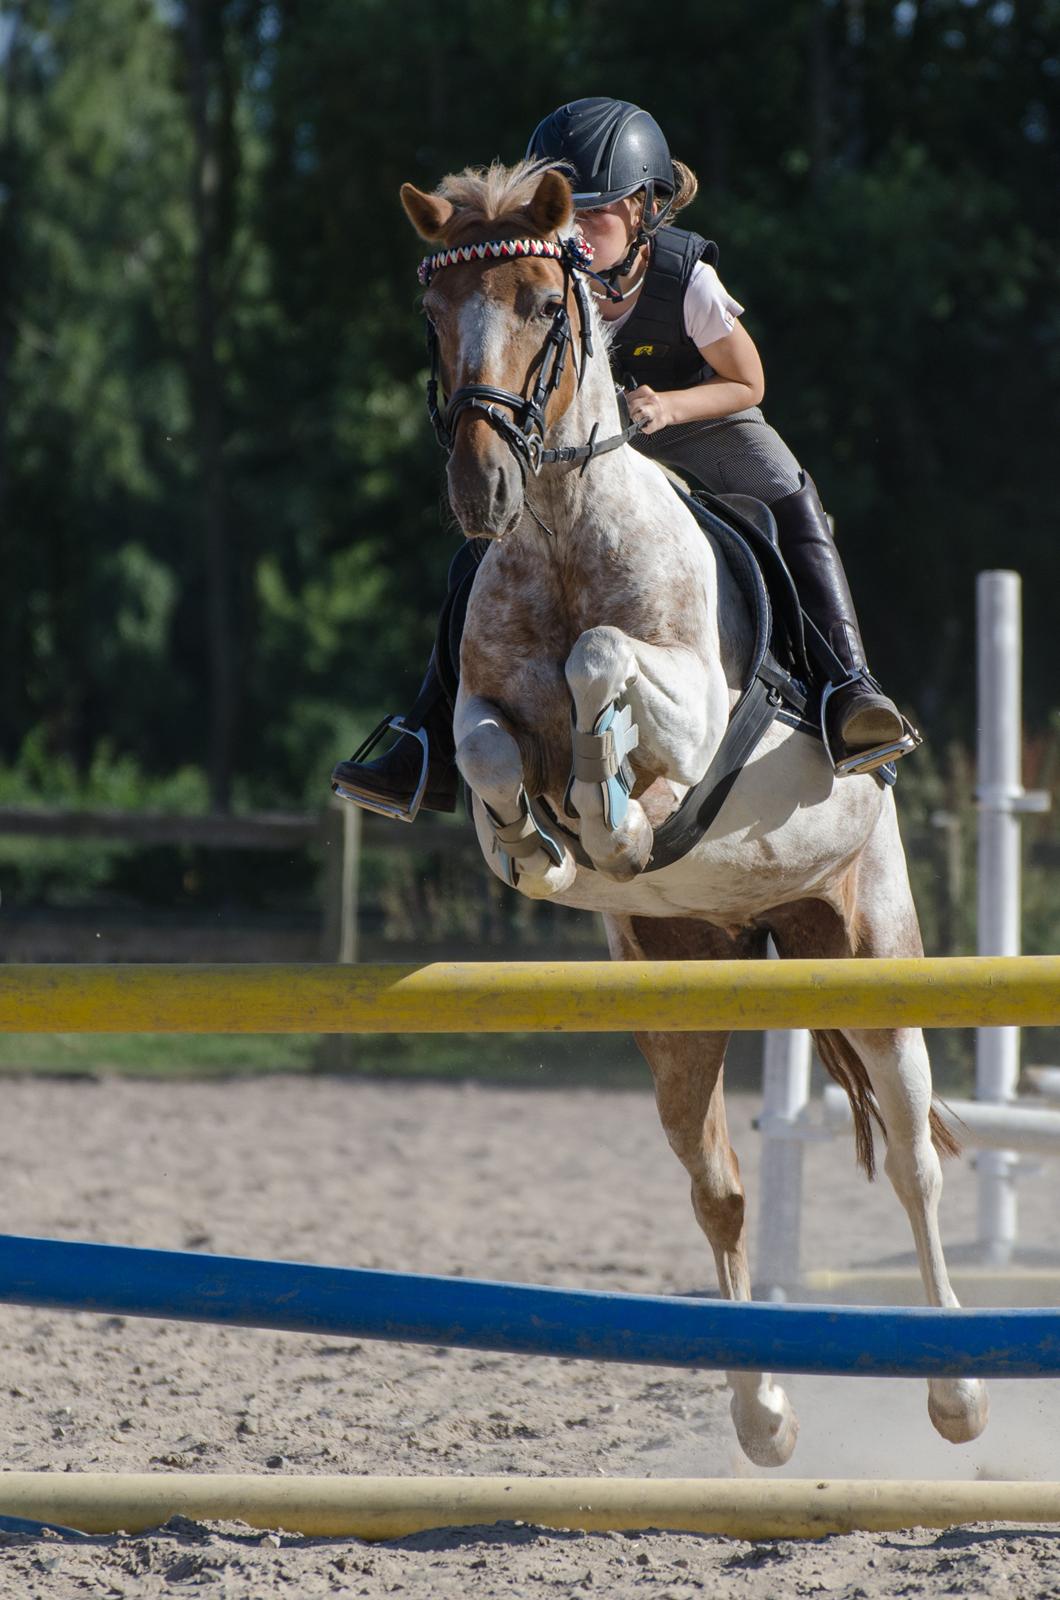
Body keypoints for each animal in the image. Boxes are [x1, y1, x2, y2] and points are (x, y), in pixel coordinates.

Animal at [403, 156, 992, 1465]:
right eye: (434, 316)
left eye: (542, 305)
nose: (476, 489)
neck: (561, 536)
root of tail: (768, 926)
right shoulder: (479, 708)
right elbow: (483, 742)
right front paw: (534, 843)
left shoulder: (702, 701)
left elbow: (607, 667)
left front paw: (612, 811)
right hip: (678, 985)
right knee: (716, 1186)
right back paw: (763, 1415)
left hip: (865, 945)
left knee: (916, 1164)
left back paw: (956, 1392)